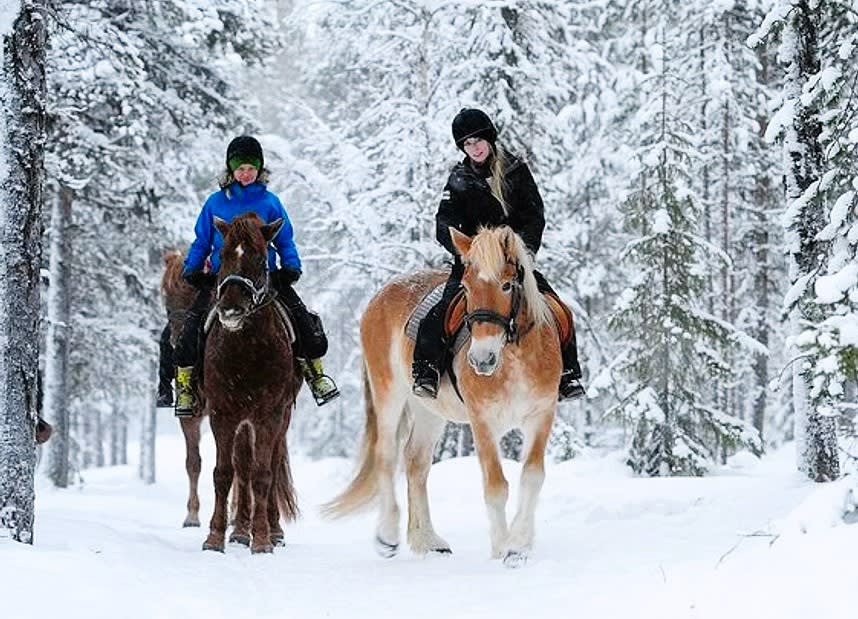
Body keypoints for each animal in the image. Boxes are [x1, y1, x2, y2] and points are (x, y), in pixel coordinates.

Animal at [200, 213, 300, 552]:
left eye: (260, 258)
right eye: (223, 254)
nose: (230, 309)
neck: (245, 349)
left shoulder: (269, 415)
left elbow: (262, 474)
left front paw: (263, 539)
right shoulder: (223, 414)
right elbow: (224, 473)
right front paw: (215, 537)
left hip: (281, 416)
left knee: (271, 463)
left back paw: (273, 530)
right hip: (243, 422)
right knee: (241, 465)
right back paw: (240, 531)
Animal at [324, 226, 560, 568]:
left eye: (506, 285)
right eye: (466, 287)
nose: (481, 360)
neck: (514, 360)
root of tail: (378, 298)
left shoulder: (541, 416)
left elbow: (532, 476)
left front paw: (518, 546)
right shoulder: (482, 422)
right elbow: (495, 485)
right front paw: (501, 548)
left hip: (428, 410)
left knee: (416, 463)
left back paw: (428, 541)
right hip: (389, 393)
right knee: (386, 454)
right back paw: (388, 536)